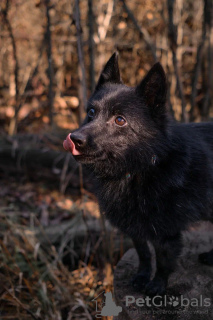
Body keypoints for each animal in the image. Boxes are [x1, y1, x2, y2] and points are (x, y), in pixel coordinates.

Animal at [63, 52, 213, 296]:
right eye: (91, 112)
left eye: (120, 120)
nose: (74, 139)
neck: (139, 169)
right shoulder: (133, 226)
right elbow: (143, 253)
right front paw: (142, 277)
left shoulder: (167, 232)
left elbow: (163, 261)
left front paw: (157, 285)